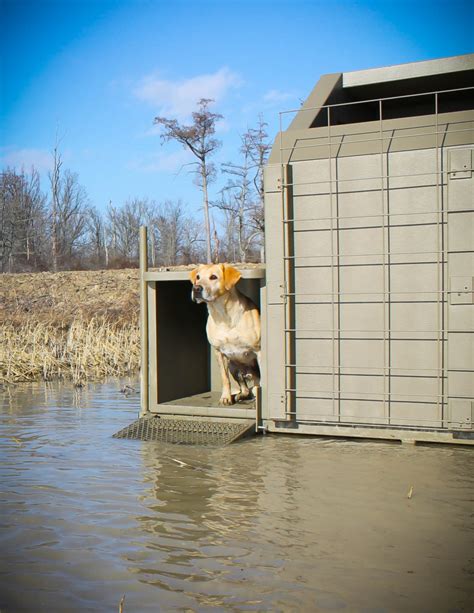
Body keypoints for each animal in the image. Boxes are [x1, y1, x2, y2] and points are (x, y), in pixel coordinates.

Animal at [190, 262, 262, 402]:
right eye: (198, 277)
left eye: (213, 277)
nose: (196, 288)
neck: (223, 316)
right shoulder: (219, 352)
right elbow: (225, 379)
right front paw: (226, 397)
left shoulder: (259, 350)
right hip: (234, 367)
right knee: (245, 388)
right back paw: (241, 395)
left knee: (257, 385)